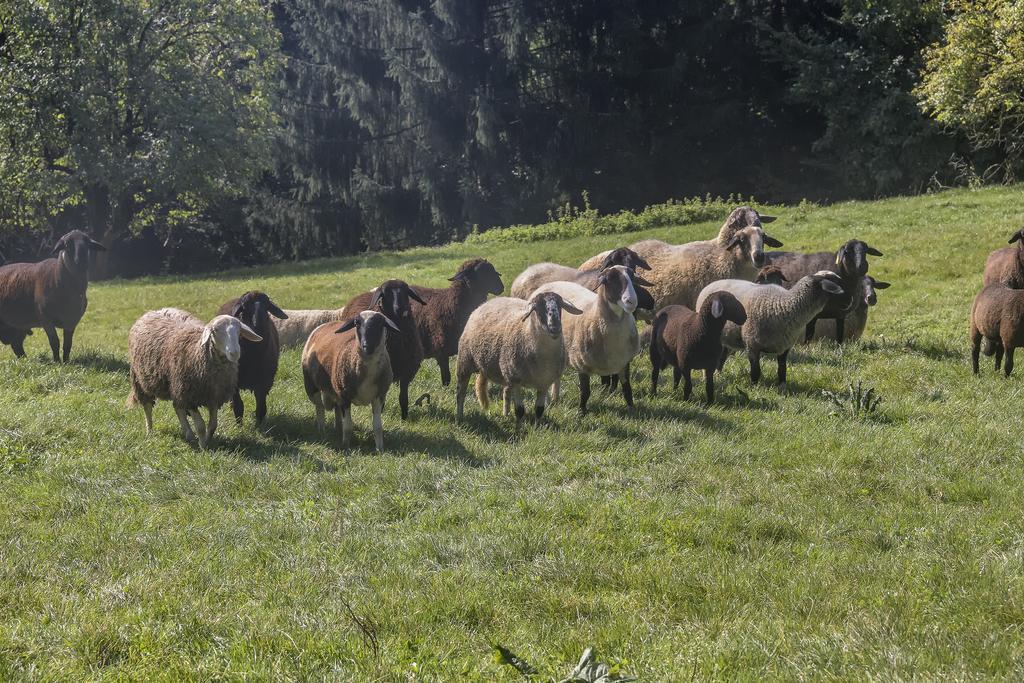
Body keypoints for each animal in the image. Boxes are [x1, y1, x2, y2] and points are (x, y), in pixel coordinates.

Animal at [0, 231, 105, 362]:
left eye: (88, 244)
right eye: (67, 244)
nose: (82, 261)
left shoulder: (71, 320)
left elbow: (68, 344)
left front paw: (66, 361)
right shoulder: (46, 319)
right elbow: (54, 342)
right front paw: (57, 361)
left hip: (17, 327)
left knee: (17, 345)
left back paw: (25, 360)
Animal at [216, 292, 288, 428]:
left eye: (267, 306)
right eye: (245, 307)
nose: (258, 322)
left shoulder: (264, 381)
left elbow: (261, 407)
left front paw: (259, 426)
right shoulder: (234, 381)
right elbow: (238, 406)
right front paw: (239, 427)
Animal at [696, 272, 847, 389]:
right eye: (835, 286)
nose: (849, 303)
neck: (785, 307)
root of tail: (710, 284)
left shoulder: (784, 347)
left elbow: (782, 369)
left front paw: (782, 387)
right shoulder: (752, 345)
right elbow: (756, 370)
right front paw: (754, 387)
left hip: (727, 337)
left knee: (722, 355)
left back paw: (718, 374)